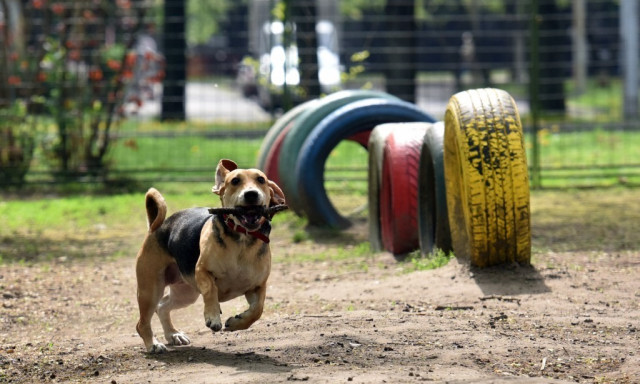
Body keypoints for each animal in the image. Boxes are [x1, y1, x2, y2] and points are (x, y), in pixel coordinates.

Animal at [134, 159, 284, 354]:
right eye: (235, 181)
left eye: (261, 180)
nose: (251, 194)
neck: (242, 238)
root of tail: (157, 227)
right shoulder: (202, 271)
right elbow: (211, 290)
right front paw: (213, 317)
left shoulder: (258, 286)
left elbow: (257, 310)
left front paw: (237, 323)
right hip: (151, 288)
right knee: (142, 322)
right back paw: (153, 344)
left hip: (186, 293)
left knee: (162, 306)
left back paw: (173, 335)